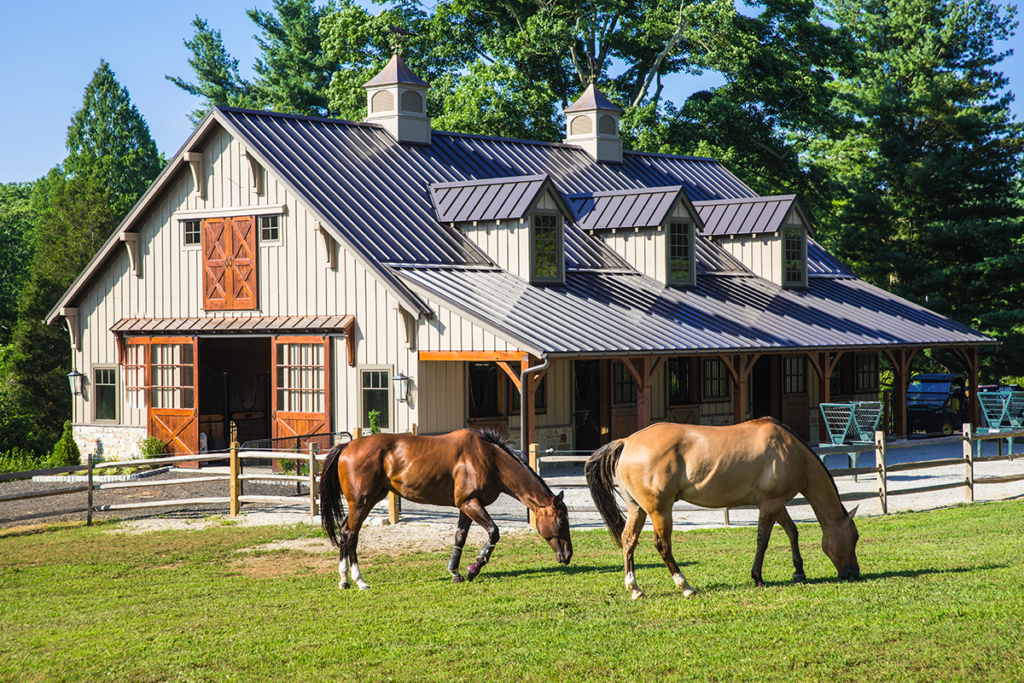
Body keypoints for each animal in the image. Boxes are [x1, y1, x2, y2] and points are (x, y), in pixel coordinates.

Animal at [319, 428, 573, 589]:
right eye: (561, 521)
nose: (568, 555)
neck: (489, 458)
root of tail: (347, 446)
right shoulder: (471, 503)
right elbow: (494, 532)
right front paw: (474, 568)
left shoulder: (466, 506)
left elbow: (460, 537)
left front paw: (455, 572)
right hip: (361, 502)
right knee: (351, 535)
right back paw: (359, 580)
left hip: (369, 500)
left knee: (345, 532)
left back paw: (344, 580)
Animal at [585, 417, 856, 598]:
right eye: (855, 538)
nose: (853, 572)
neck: (791, 452)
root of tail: (627, 442)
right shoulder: (770, 505)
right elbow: (762, 540)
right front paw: (758, 577)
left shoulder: (777, 504)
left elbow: (792, 532)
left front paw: (799, 571)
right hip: (660, 511)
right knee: (662, 546)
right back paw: (685, 586)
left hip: (637, 510)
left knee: (629, 541)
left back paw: (634, 588)